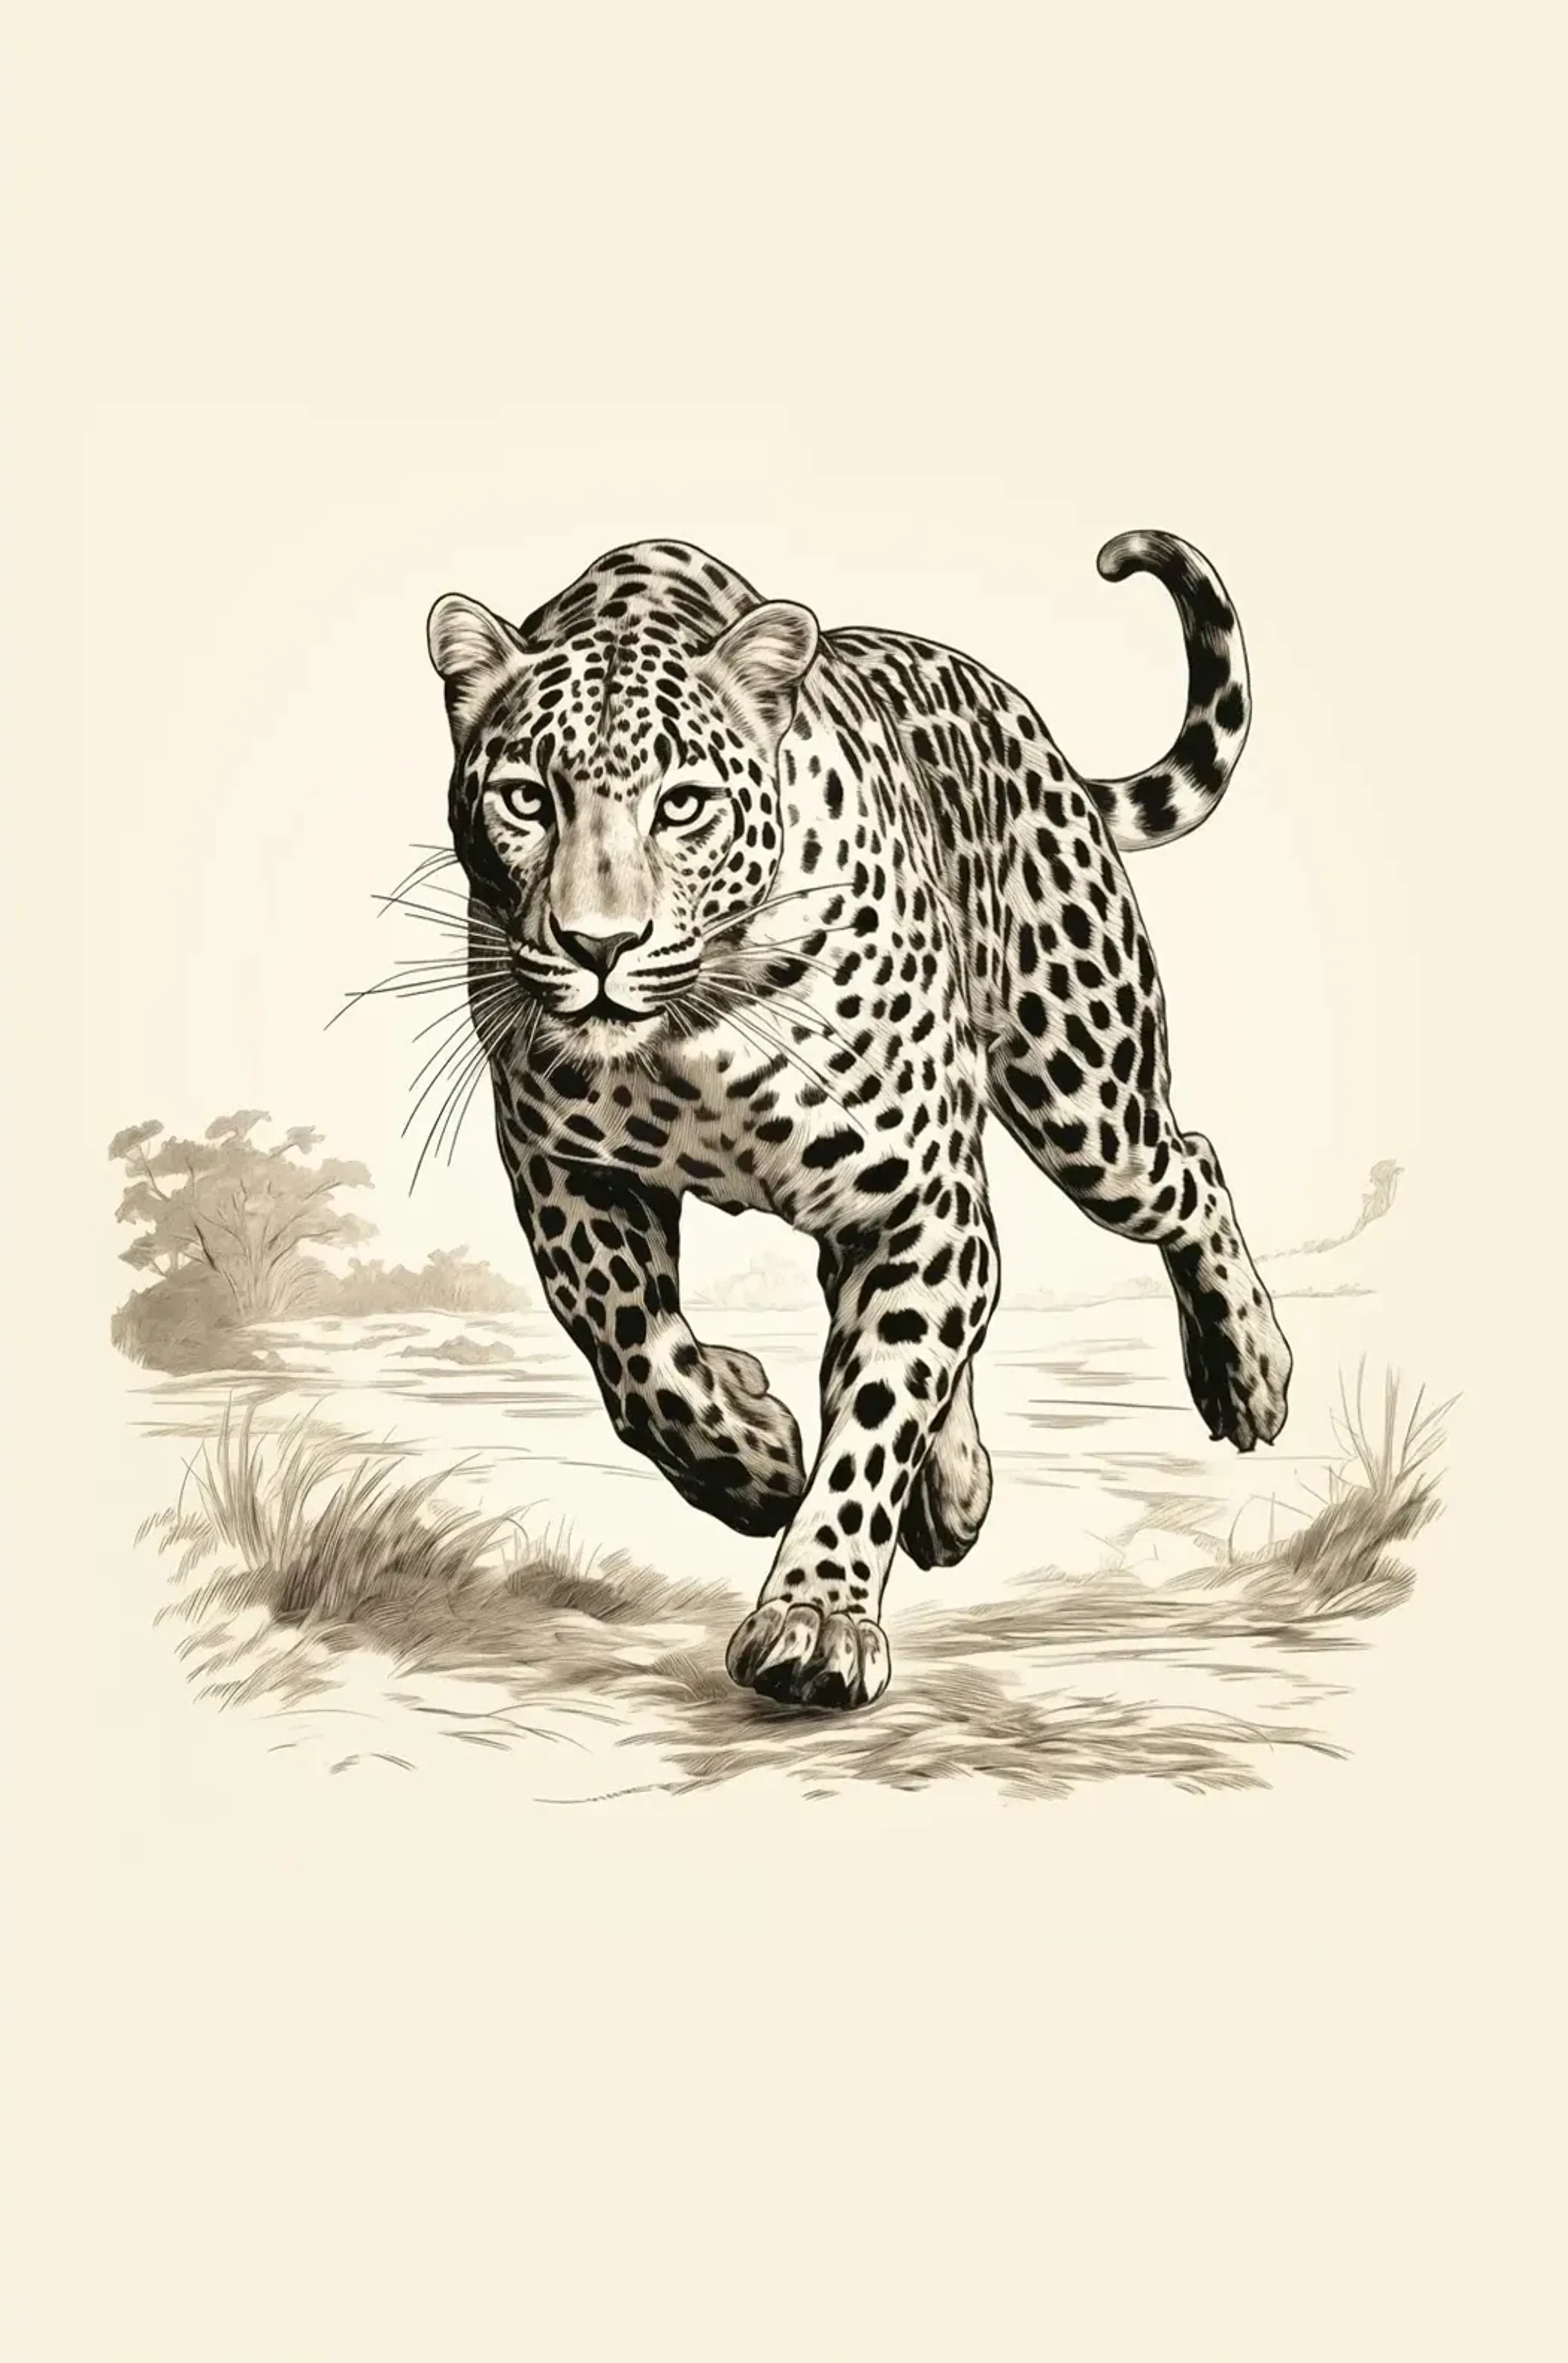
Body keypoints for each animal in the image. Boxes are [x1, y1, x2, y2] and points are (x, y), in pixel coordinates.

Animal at [424, 529, 1291, 1712]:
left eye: (682, 804)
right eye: (525, 797)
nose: (598, 944)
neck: (695, 1027)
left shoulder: (916, 1198)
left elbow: (880, 1409)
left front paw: (816, 1620)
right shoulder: (564, 1163)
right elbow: (635, 1352)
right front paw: (752, 1456)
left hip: (1081, 1093)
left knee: (1187, 1168)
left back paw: (1247, 1375)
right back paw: (953, 1486)